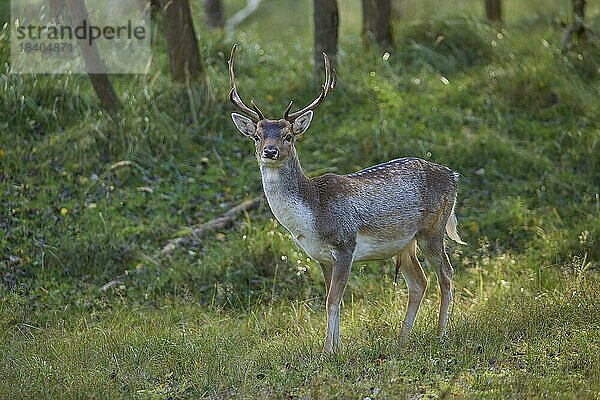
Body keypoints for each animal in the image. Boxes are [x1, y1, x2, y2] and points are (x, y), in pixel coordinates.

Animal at [227, 45, 466, 354]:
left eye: (289, 136)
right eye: (256, 136)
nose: (270, 151)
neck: (312, 214)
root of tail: (454, 175)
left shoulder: (345, 245)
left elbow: (332, 301)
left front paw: (327, 351)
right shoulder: (320, 257)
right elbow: (332, 300)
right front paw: (336, 348)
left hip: (432, 230)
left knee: (446, 274)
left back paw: (440, 334)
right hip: (405, 243)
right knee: (419, 282)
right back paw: (401, 341)